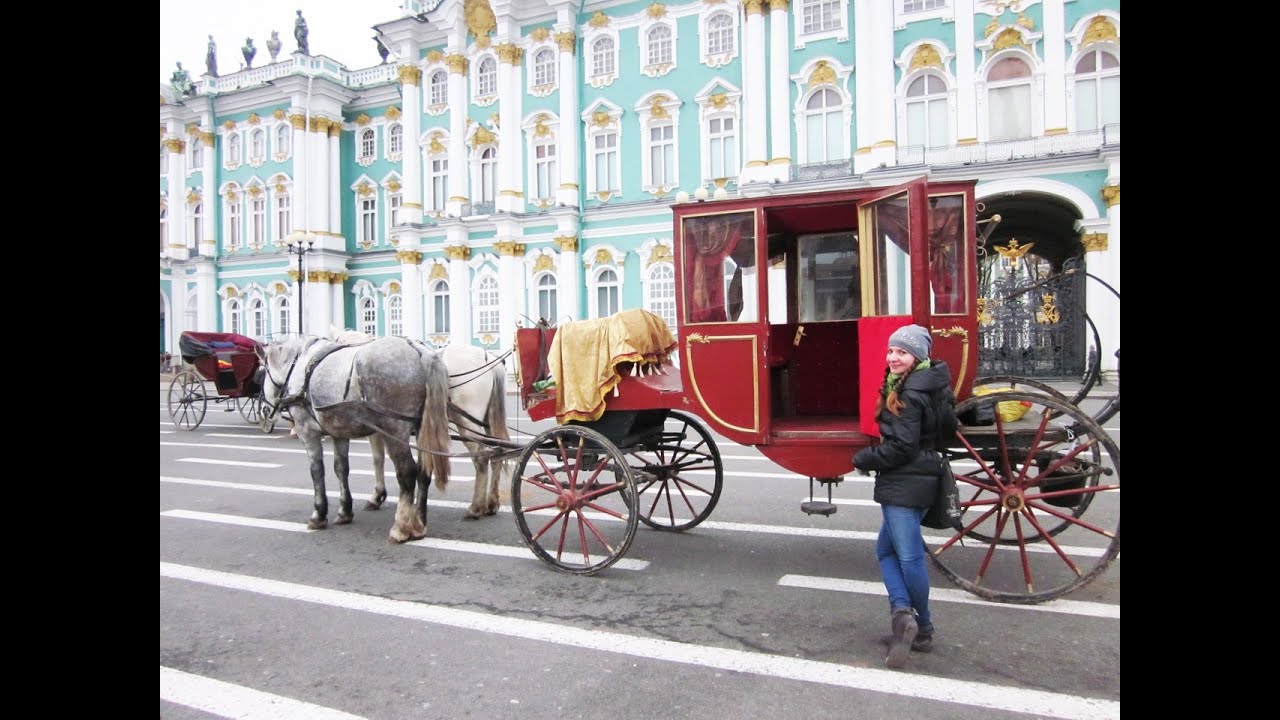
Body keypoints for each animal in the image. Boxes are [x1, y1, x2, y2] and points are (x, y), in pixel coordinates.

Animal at [257, 333, 453, 540]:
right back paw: (419, 521)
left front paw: (318, 514)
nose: (263, 412)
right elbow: (341, 469)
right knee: (424, 472)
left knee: (407, 472)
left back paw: (401, 527)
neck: (301, 366)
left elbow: (317, 471)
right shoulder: (339, 433)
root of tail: (418, 350)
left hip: (394, 430)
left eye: (261, 374)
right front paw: (345, 510)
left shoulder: (307, 431)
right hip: (422, 428)